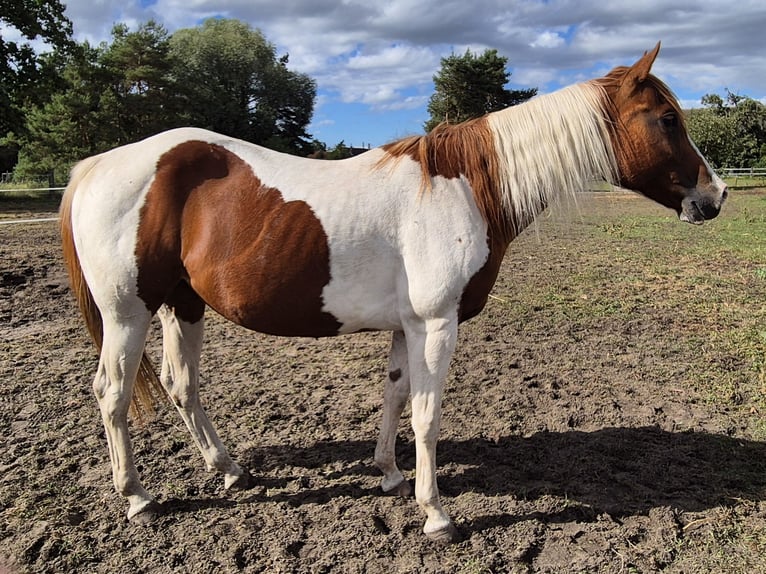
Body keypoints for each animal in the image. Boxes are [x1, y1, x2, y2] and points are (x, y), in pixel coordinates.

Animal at [60, 43, 726, 543]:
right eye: (668, 118)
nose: (715, 196)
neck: (465, 187)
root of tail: (95, 167)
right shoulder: (436, 324)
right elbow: (428, 415)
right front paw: (436, 514)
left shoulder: (408, 325)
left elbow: (397, 395)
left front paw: (388, 475)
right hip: (128, 313)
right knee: (112, 393)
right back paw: (139, 498)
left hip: (184, 304)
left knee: (182, 385)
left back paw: (230, 471)